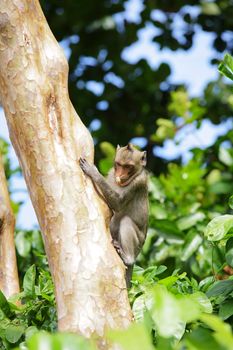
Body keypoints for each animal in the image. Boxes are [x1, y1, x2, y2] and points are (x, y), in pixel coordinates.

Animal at [79, 143, 148, 288]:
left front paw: (93, 172)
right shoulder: (111, 173)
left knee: (126, 221)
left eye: (128, 167)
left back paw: (127, 259)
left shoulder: (139, 182)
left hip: (138, 244)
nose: (120, 175)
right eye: (118, 164)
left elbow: (117, 204)